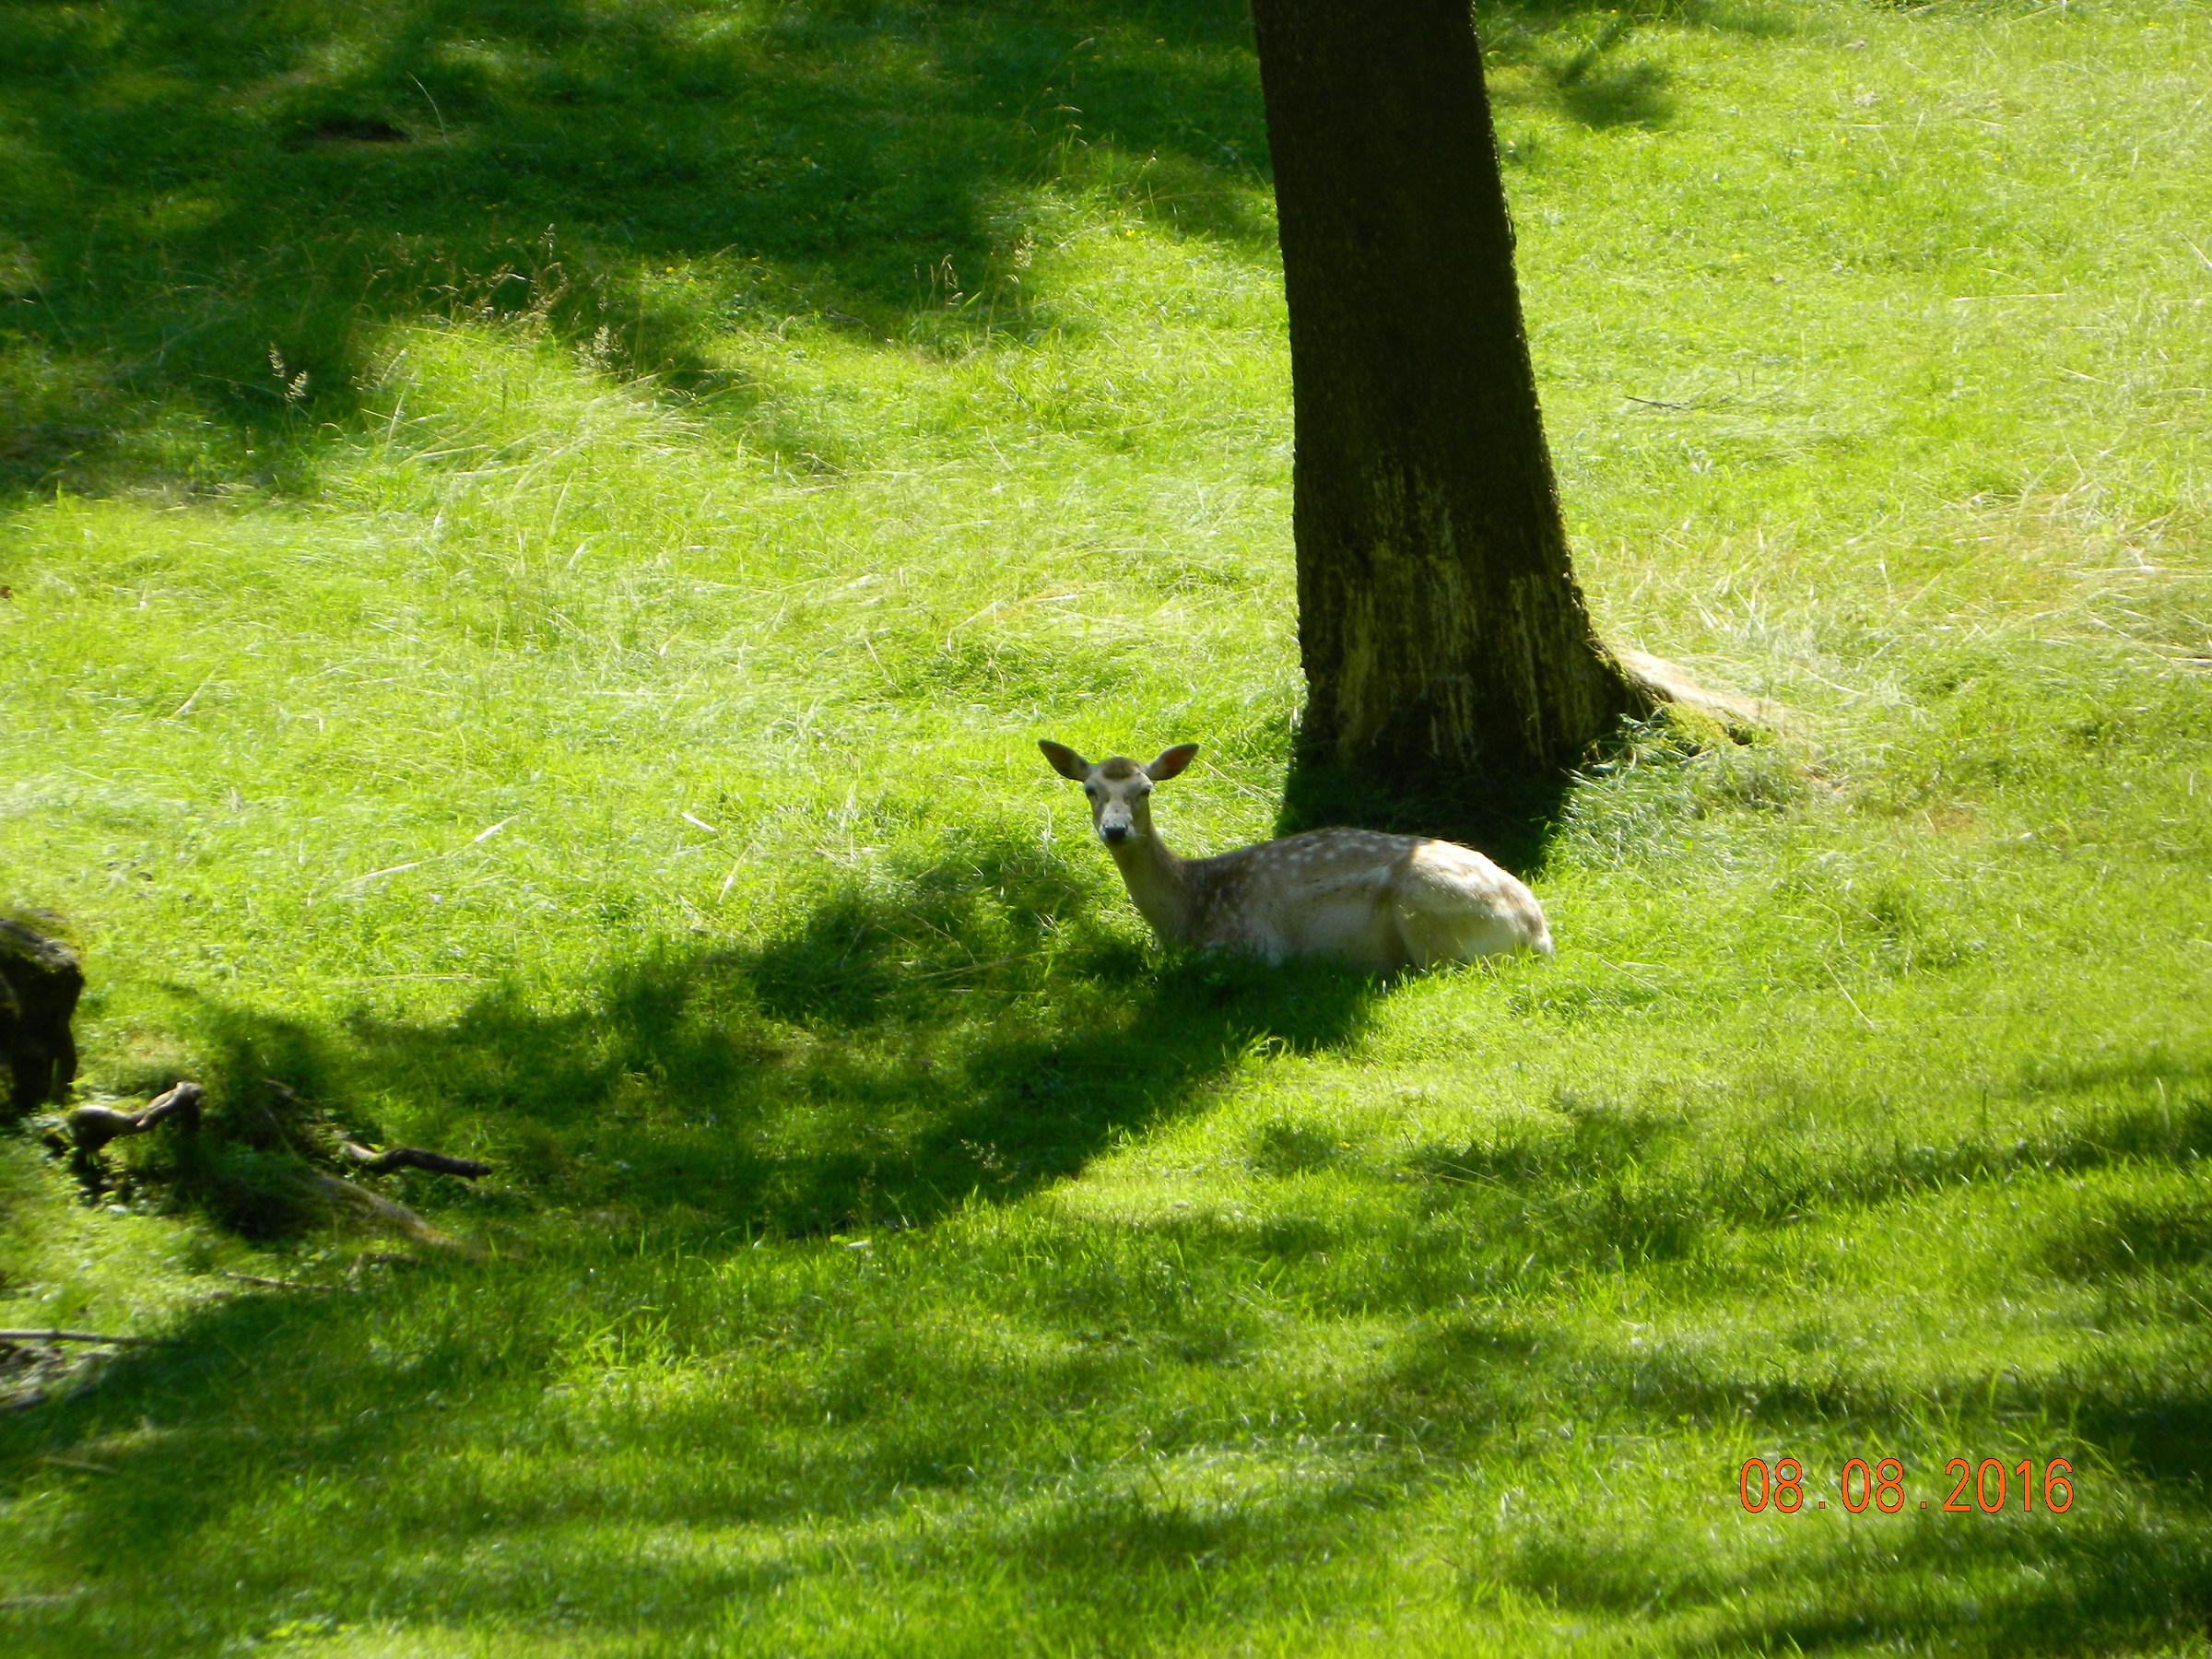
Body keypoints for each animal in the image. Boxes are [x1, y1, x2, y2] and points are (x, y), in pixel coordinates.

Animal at [1038, 741, 1553, 973]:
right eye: (1090, 790)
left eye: (1145, 790)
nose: (1116, 829)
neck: (1187, 911)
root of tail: (1536, 932)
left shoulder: (1251, 946)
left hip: (1431, 919)